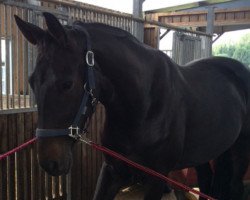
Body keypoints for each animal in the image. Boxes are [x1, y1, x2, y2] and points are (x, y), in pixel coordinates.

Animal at [14, 12, 250, 200]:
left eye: (67, 84)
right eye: (32, 81)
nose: (49, 162)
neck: (143, 107)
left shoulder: (157, 177)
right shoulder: (112, 171)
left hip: (239, 151)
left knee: (235, 187)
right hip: (207, 152)